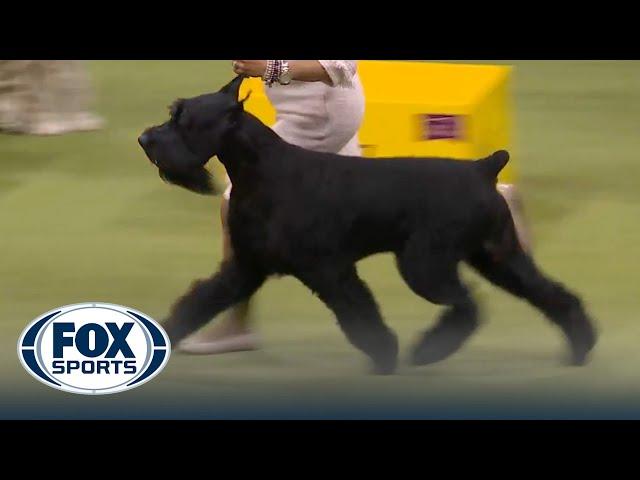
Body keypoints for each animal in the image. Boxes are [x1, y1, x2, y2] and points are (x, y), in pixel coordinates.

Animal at [138, 76, 596, 376]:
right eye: (173, 114)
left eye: (184, 121)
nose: (146, 140)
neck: (262, 172)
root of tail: (483, 168)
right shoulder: (245, 267)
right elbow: (199, 302)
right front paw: (167, 337)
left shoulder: (328, 270)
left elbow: (361, 314)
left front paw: (385, 355)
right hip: (497, 257)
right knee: (551, 295)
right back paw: (579, 347)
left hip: (424, 265)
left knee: (468, 306)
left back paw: (428, 351)